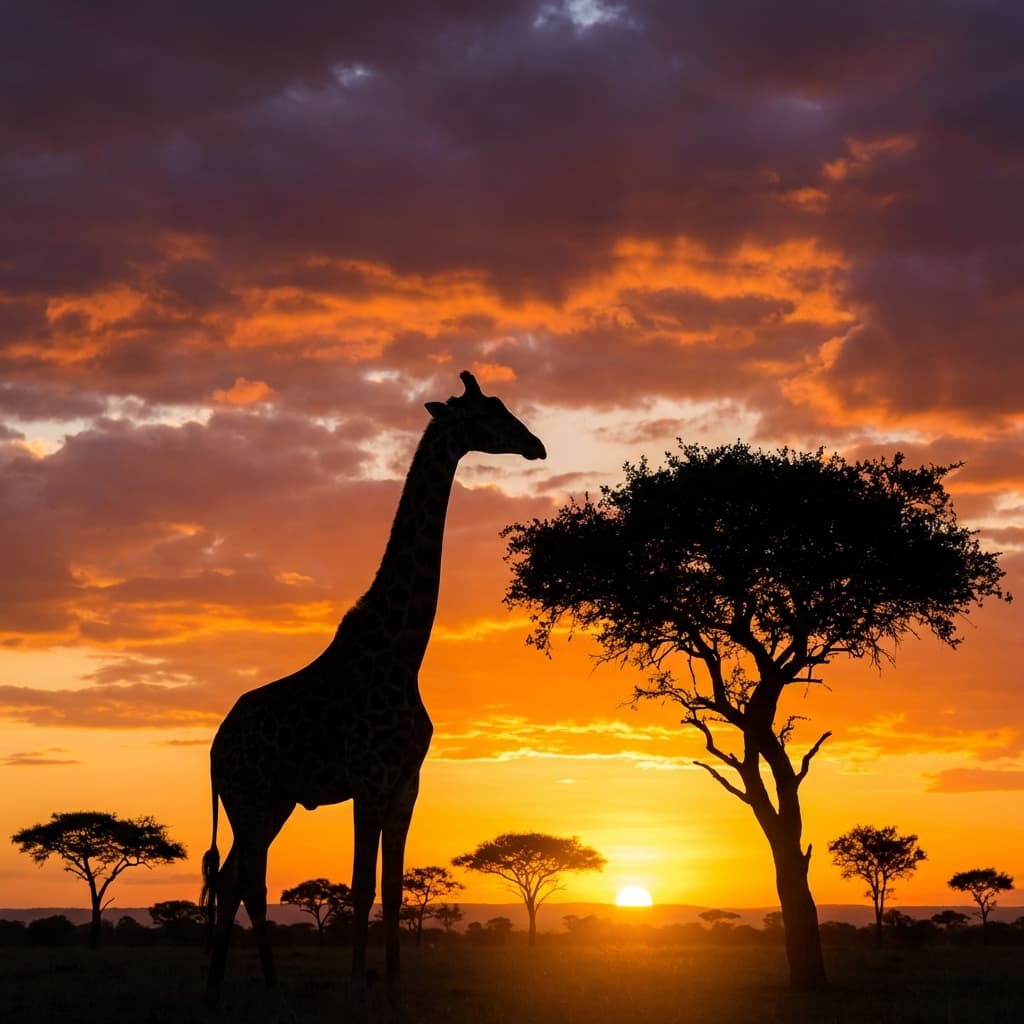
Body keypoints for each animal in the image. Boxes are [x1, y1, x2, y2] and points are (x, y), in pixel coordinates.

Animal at [200, 370, 545, 1013]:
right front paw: (356, 987)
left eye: (503, 405)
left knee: (240, 878)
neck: (404, 652)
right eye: (485, 414)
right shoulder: (369, 777)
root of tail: (214, 749)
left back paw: (261, 987)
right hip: (248, 798)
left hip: (272, 801)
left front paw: (394, 990)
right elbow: (361, 887)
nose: (535, 445)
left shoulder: (407, 783)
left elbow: (393, 888)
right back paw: (222, 989)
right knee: (239, 879)